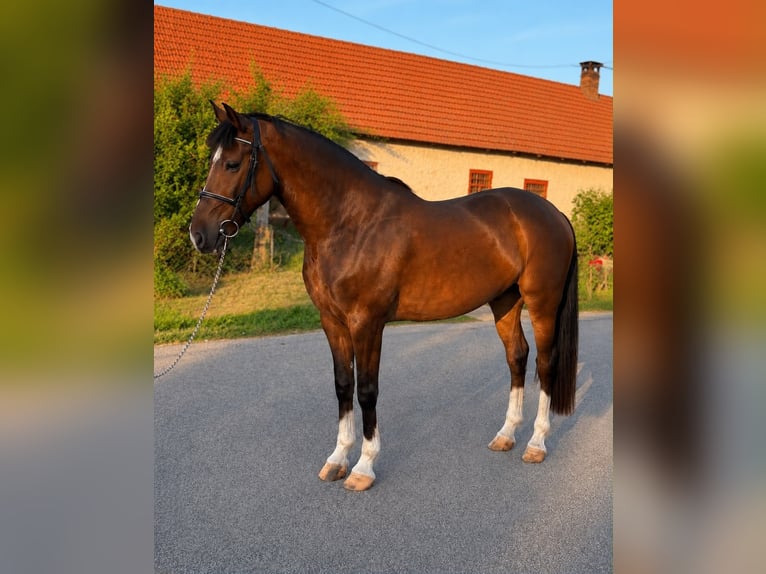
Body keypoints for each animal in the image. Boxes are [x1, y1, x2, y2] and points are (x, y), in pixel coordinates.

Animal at [190, 102, 579, 491]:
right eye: (212, 159)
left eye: (232, 164)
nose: (199, 234)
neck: (351, 224)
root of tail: (555, 213)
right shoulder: (332, 321)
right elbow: (343, 385)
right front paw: (337, 459)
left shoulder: (367, 323)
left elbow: (367, 390)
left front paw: (363, 467)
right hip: (505, 301)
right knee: (517, 357)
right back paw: (506, 435)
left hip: (542, 303)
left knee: (545, 362)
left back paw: (536, 443)